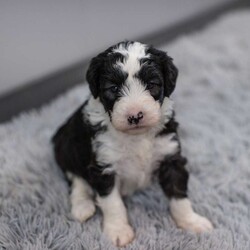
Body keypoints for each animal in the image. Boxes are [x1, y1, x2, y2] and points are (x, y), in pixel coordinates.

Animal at [52, 40, 213, 246]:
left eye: (151, 84)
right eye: (113, 88)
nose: (135, 116)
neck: (137, 137)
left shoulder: (170, 155)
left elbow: (179, 195)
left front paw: (191, 222)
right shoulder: (104, 166)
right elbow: (113, 203)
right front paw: (118, 231)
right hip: (67, 148)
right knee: (76, 180)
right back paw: (82, 207)